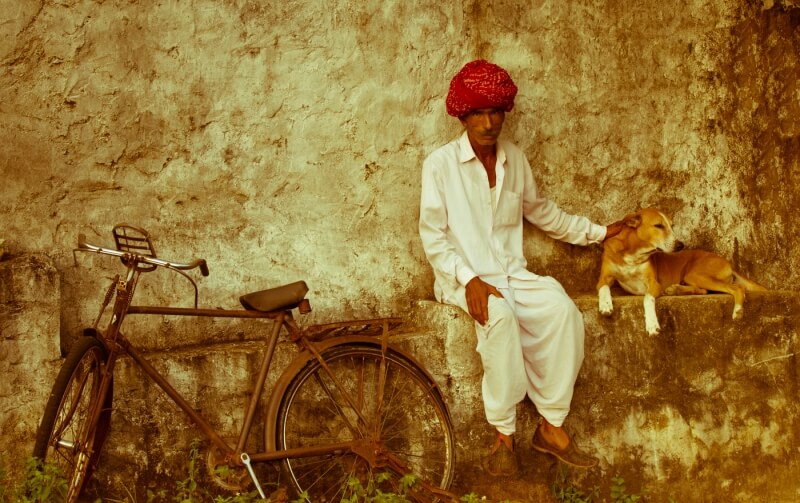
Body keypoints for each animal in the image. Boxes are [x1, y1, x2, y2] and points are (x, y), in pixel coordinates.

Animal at [596, 207, 764, 336]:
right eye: (658, 226)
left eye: (672, 226)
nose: (680, 245)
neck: (633, 253)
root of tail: (728, 262)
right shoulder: (604, 278)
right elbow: (603, 287)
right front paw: (605, 304)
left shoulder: (654, 284)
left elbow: (647, 299)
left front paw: (652, 324)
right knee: (703, 290)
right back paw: (675, 289)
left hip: (695, 274)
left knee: (737, 288)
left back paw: (738, 310)